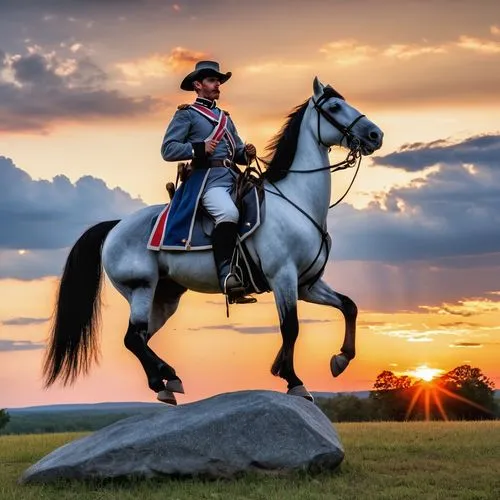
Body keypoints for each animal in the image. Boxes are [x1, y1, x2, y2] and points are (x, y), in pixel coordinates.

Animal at [45, 79, 384, 406]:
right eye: (335, 107)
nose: (375, 134)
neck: (296, 201)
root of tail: (116, 226)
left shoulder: (307, 284)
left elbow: (349, 306)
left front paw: (340, 358)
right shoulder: (283, 277)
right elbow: (291, 328)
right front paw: (294, 381)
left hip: (164, 297)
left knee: (141, 338)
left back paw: (168, 378)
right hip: (140, 288)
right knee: (133, 338)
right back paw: (163, 382)